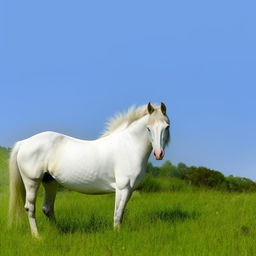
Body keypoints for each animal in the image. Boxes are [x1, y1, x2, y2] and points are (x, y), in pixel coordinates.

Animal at [9, 102, 170, 236]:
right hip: (32, 182)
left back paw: (58, 232)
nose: (159, 154)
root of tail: (23, 143)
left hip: (50, 182)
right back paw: (37, 237)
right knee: (30, 208)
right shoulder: (123, 188)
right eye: (148, 128)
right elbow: (117, 215)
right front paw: (117, 235)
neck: (128, 145)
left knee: (47, 208)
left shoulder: (129, 190)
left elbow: (121, 213)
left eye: (166, 127)